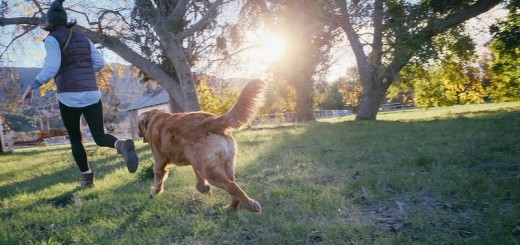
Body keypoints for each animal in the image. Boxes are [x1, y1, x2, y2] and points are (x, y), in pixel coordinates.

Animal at [138, 79, 266, 212]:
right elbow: (197, 173)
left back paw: (250, 204)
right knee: (233, 187)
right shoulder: (194, 160)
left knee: (232, 186)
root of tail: (211, 121)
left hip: (210, 172)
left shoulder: (160, 162)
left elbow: (158, 179)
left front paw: (155, 191)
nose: (138, 134)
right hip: (226, 165)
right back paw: (231, 207)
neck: (154, 118)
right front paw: (203, 187)